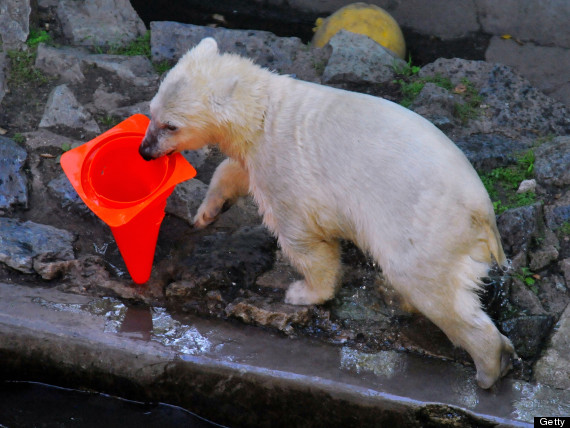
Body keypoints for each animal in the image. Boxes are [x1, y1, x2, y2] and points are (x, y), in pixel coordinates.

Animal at [140, 39, 512, 388]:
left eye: (171, 125)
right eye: (151, 111)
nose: (145, 151)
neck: (262, 113)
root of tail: (483, 211)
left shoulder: (283, 164)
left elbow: (301, 236)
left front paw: (302, 292)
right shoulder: (255, 155)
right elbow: (232, 172)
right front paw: (205, 212)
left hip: (425, 226)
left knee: (431, 286)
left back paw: (489, 365)